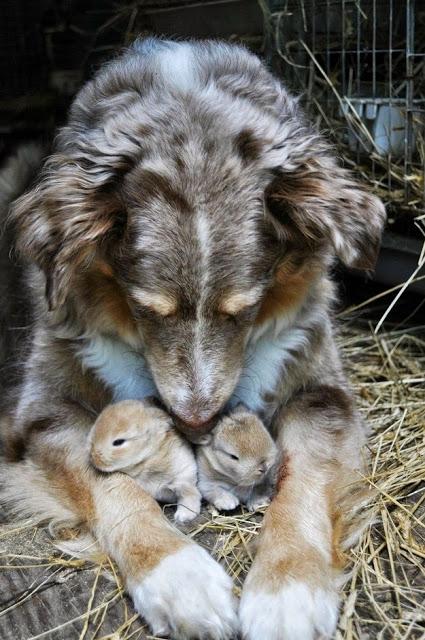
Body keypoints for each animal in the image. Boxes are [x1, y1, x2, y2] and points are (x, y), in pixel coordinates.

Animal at [0, 37, 384, 636]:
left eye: (245, 309)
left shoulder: (321, 391)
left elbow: (302, 479)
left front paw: (287, 592)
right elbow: (107, 481)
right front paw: (181, 580)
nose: (197, 424)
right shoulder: (43, 411)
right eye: (145, 308)